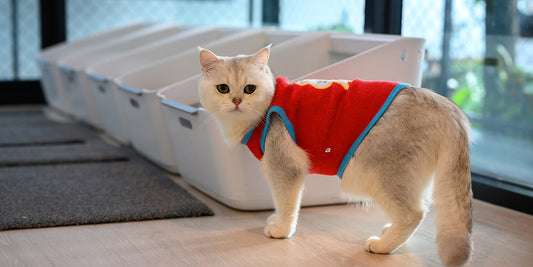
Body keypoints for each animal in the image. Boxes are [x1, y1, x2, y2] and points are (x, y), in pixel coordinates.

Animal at [197, 46, 472, 267]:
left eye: (249, 89)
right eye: (223, 88)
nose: (236, 100)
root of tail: (448, 107)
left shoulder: (284, 169)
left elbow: (286, 205)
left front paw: (282, 230)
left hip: (381, 175)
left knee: (414, 213)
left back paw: (382, 246)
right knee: (420, 207)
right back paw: (389, 235)